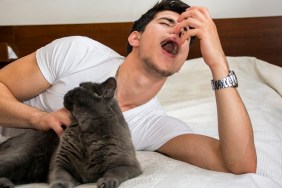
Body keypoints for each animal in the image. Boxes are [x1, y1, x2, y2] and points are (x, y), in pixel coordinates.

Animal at [0, 77, 141, 187]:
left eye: (80, 88)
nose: (68, 91)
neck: (86, 129)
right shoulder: (61, 163)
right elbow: (60, 176)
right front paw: (59, 185)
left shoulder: (129, 165)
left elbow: (115, 172)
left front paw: (107, 182)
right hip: (21, 158)